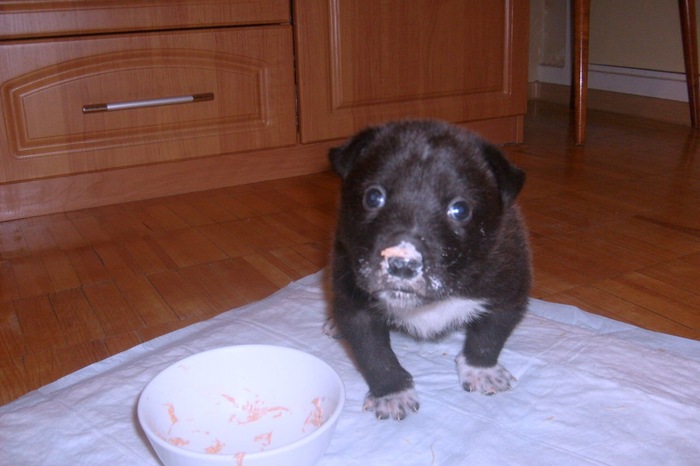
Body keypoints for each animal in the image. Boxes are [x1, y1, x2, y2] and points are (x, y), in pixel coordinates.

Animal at [328, 121, 532, 422]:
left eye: (460, 209)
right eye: (373, 197)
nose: (402, 264)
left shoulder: (508, 291)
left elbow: (489, 337)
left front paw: (481, 371)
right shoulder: (355, 304)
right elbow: (375, 355)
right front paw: (392, 393)